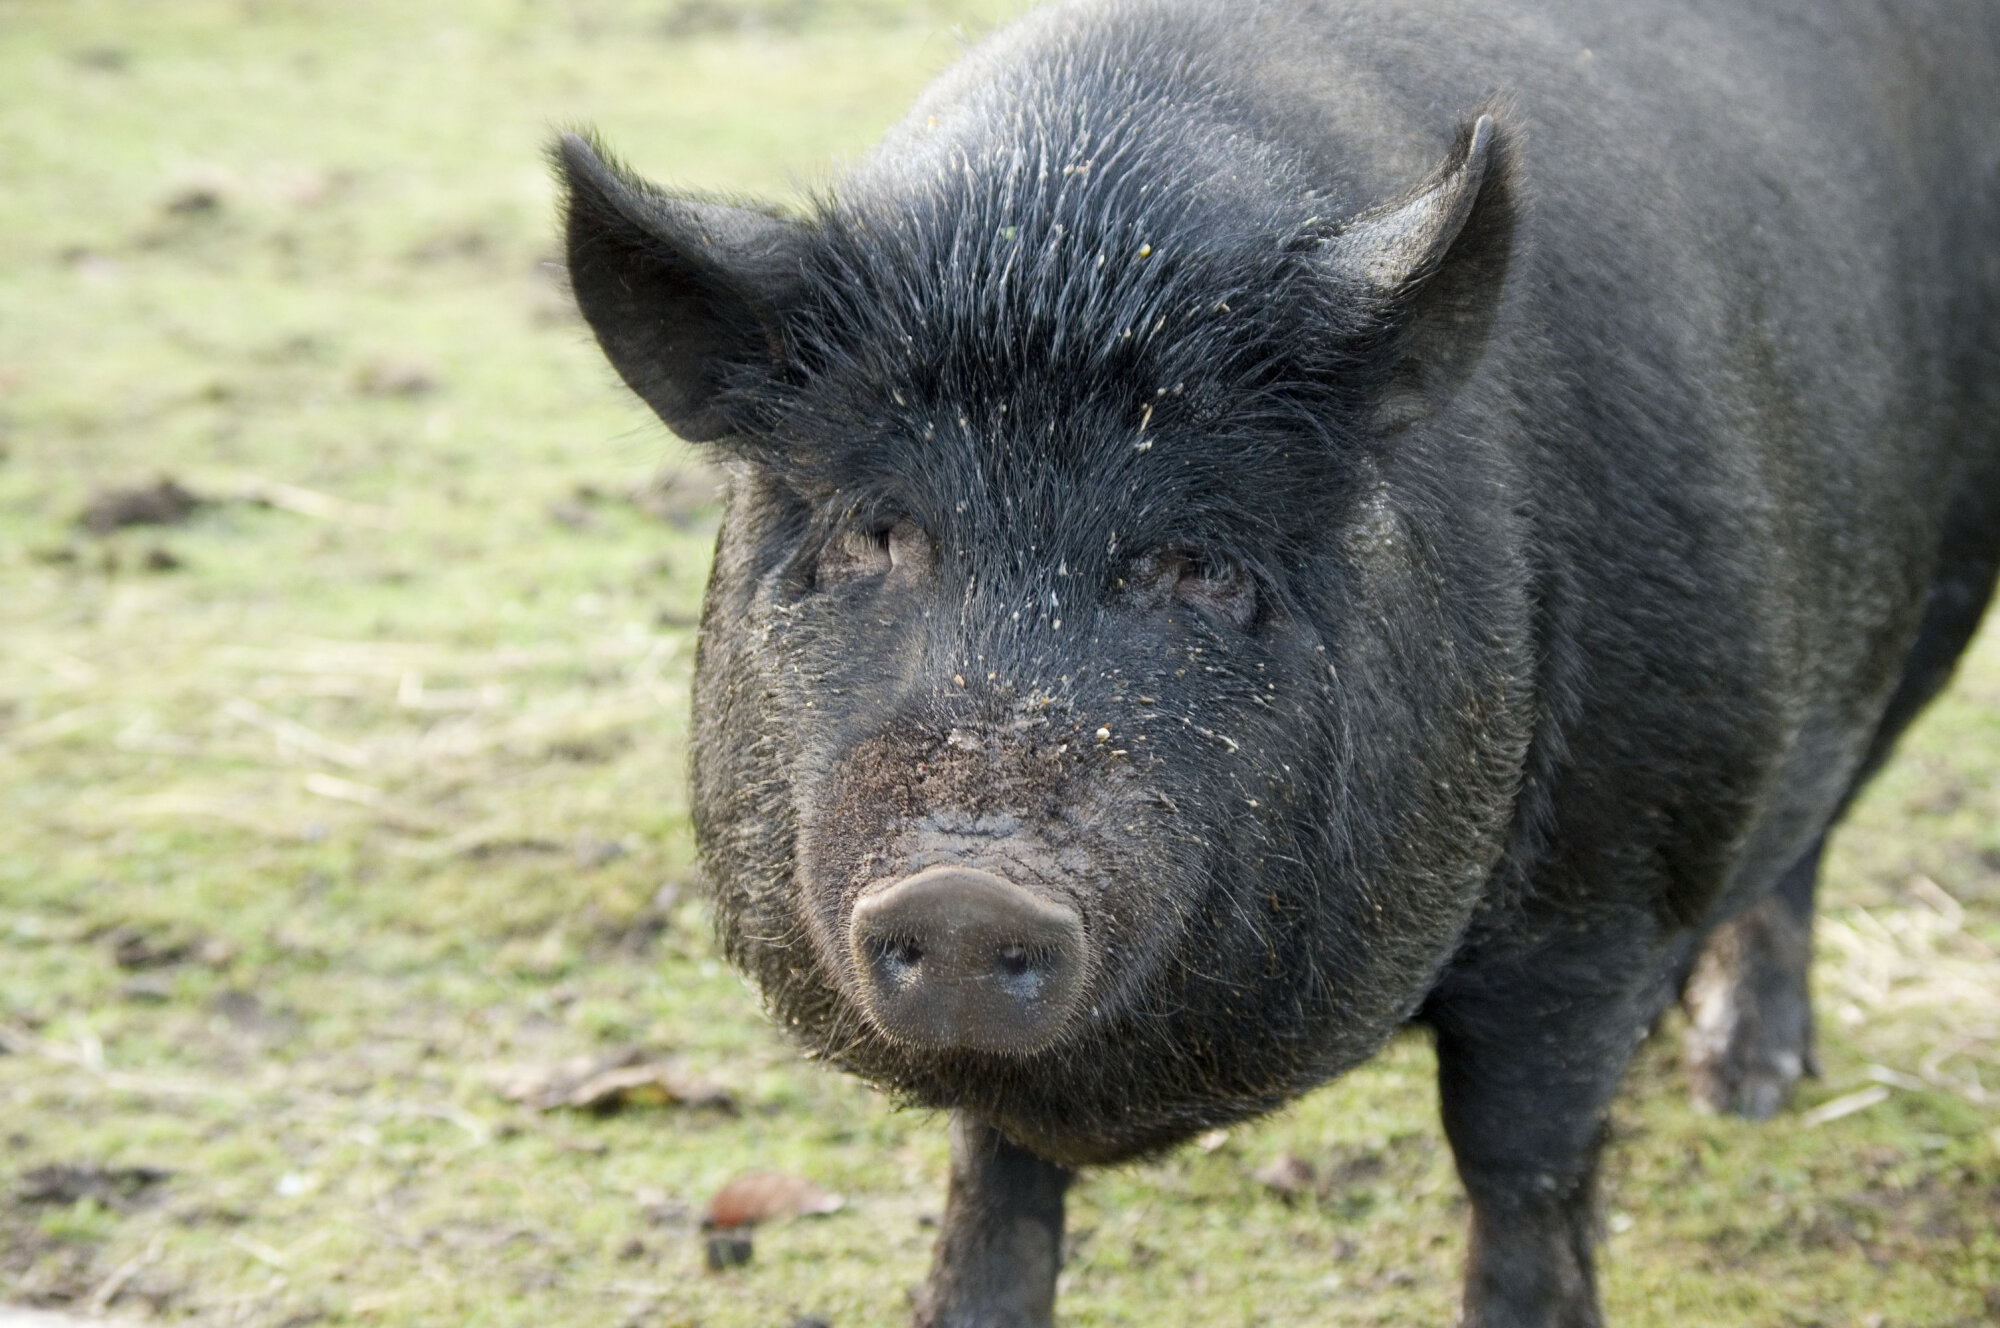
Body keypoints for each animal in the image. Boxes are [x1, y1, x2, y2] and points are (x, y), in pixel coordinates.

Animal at [554, 0, 2000, 1322]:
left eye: (1201, 561)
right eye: (877, 529)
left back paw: (1744, 1083)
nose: (968, 888)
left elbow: (1522, 1173)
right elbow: (994, 1187)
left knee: (1807, 836)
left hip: (1928, 601)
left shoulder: (1603, 891)